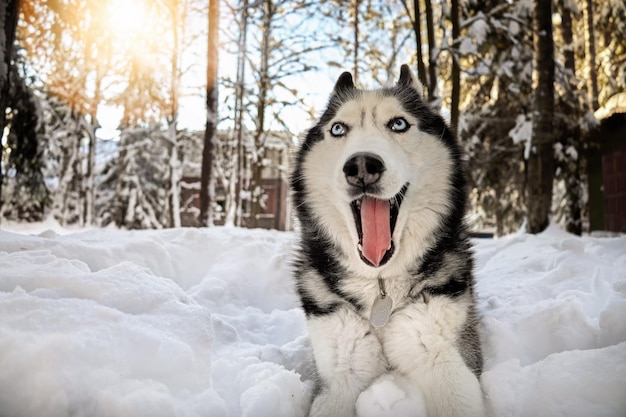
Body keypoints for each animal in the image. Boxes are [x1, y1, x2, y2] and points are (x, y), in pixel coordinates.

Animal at [290, 66, 486, 416]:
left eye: (398, 124)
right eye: (338, 128)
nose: (361, 165)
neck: (379, 287)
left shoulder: (445, 360)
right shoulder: (341, 373)